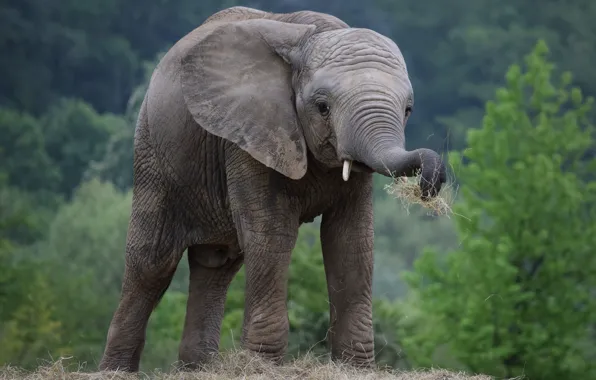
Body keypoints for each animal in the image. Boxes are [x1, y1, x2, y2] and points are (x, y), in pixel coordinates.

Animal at [98, 5, 444, 372]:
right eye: (322, 107)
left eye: (408, 110)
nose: (429, 182)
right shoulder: (248, 133)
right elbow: (272, 236)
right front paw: (262, 366)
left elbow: (351, 242)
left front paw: (355, 369)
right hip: (154, 155)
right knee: (152, 264)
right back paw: (115, 371)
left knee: (216, 265)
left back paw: (200, 369)